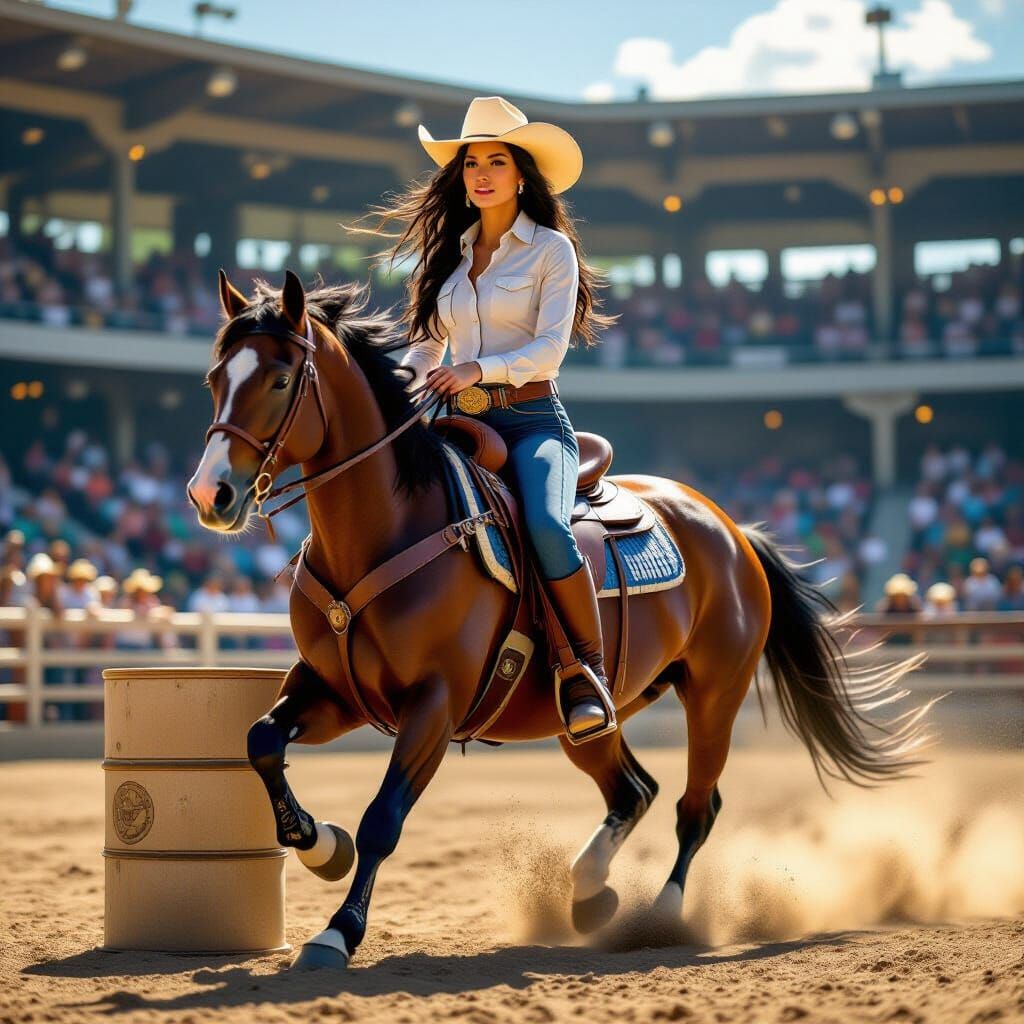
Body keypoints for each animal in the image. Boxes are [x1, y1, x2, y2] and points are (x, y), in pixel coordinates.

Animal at [187, 269, 933, 970]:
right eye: (215, 379)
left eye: (281, 378)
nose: (208, 494)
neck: (389, 529)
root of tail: (732, 530)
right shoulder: (336, 690)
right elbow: (260, 740)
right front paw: (321, 846)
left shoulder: (433, 705)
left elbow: (383, 820)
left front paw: (337, 931)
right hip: (588, 717)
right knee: (634, 789)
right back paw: (590, 892)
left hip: (714, 696)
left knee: (695, 807)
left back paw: (660, 917)